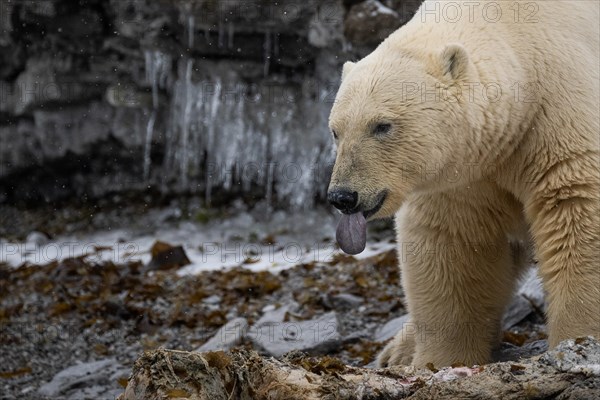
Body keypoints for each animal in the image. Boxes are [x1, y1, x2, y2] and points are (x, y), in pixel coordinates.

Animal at [328, 0, 600, 368]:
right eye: (335, 131)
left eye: (382, 125)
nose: (343, 196)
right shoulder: (462, 173)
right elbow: (454, 246)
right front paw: (441, 359)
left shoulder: (553, 112)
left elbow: (576, 210)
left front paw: (578, 340)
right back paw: (397, 351)